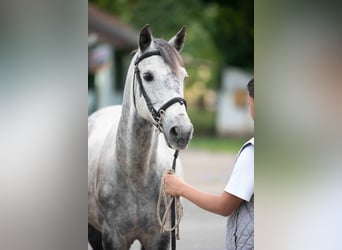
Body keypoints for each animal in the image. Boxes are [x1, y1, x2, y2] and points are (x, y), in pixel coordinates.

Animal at [88, 24, 194, 249]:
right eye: (147, 76)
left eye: (184, 76)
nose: (182, 131)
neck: (136, 175)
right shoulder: (113, 237)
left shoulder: (158, 237)